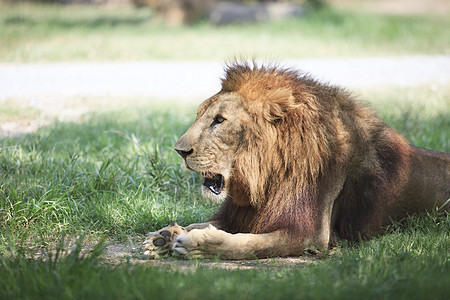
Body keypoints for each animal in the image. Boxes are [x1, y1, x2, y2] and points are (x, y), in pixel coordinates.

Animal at [143, 62, 446, 258]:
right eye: (200, 115)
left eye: (219, 120)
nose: (179, 150)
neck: (265, 175)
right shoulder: (245, 214)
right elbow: (200, 223)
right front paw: (164, 235)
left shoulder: (310, 234)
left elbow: (246, 244)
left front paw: (195, 244)